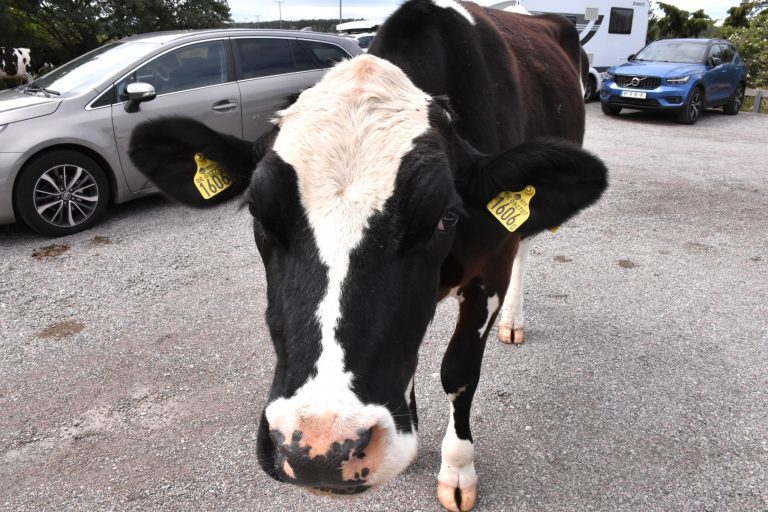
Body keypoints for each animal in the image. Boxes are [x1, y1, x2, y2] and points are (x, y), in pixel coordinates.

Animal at [129, 2, 608, 510]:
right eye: (257, 210)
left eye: (445, 216)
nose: (318, 448)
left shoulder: (489, 265)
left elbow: (459, 373)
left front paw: (458, 470)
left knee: (526, 246)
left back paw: (513, 320)